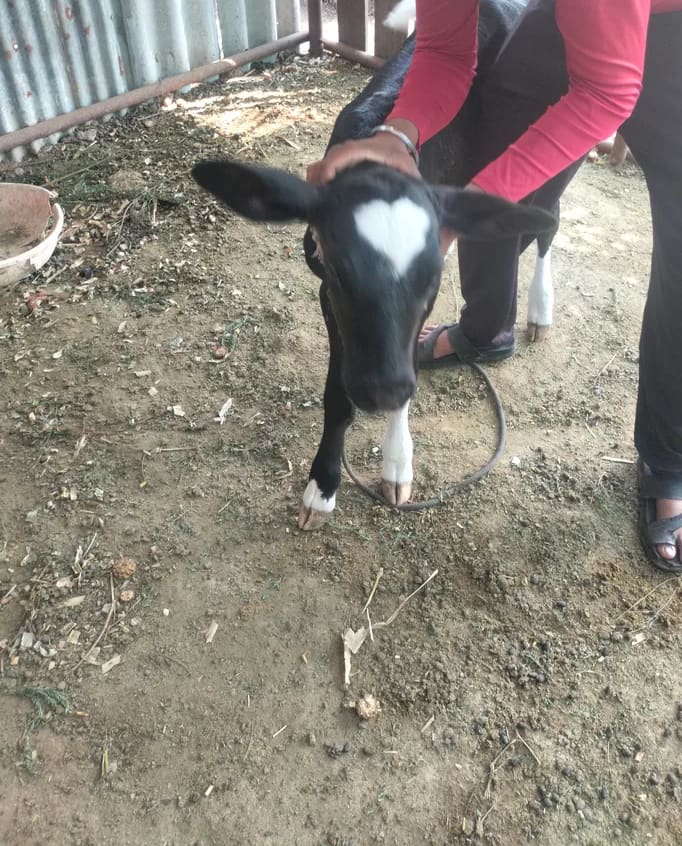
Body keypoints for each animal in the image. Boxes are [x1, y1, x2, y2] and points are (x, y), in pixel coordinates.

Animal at [192, 0, 557, 530]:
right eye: (340, 273)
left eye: (431, 283)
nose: (382, 390)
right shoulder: (325, 295)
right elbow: (336, 397)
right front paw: (321, 488)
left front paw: (397, 462)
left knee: (550, 223)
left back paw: (541, 308)